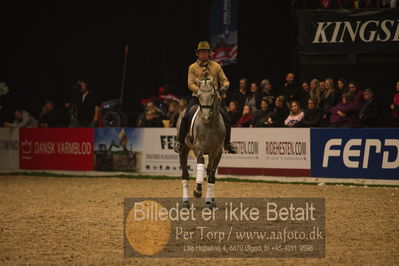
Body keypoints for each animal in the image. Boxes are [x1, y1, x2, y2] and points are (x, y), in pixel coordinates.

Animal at [177, 78, 227, 209]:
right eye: (199, 95)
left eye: (213, 95)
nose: (205, 117)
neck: (210, 126)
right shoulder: (198, 149)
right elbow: (201, 162)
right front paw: (198, 191)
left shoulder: (217, 152)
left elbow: (212, 174)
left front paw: (209, 201)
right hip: (184, 150)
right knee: (185, 174)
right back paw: (186, 201)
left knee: (209, 171)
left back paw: (211, 200)